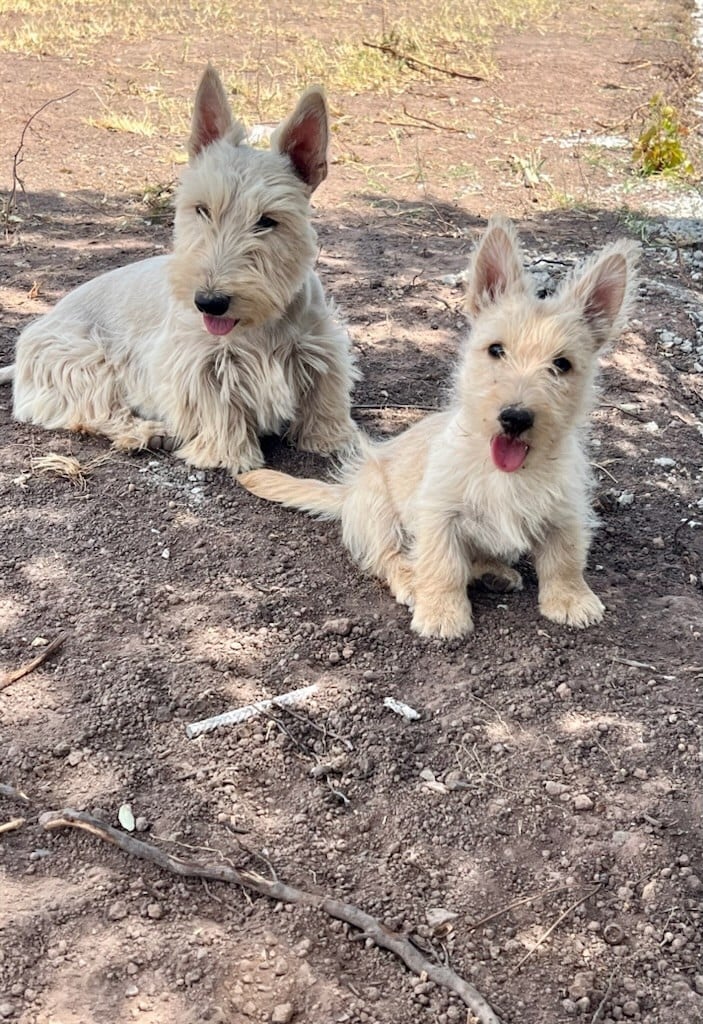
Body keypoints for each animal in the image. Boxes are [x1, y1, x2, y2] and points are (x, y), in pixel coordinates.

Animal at [0, 66, 360, 473]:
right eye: (202, 209)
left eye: (267, 221)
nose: (209, 302)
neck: (258, 326)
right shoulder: (198, 362)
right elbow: (218, 407)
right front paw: (227, 453)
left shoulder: (320, 346)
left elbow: (325, 395)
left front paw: (331, 439)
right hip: (81, 360)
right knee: (90, 410)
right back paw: (143, 432)